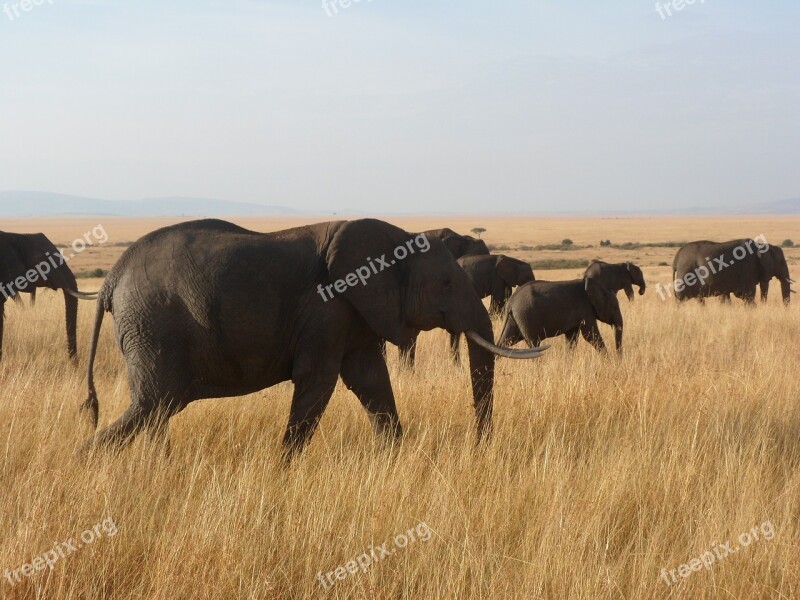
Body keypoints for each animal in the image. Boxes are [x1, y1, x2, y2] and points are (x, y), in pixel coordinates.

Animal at [79, 218, 544, 458]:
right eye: (446, 283)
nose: (480, 445)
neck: (393, 239)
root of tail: (111, 280)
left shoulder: (353, 313)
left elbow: (371, 381)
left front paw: (394, 457)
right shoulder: (327, 308)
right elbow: (319, 381)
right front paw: (283, 468)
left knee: (158, 408)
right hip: (153, 323)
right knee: (153, 404)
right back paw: (85, 461)